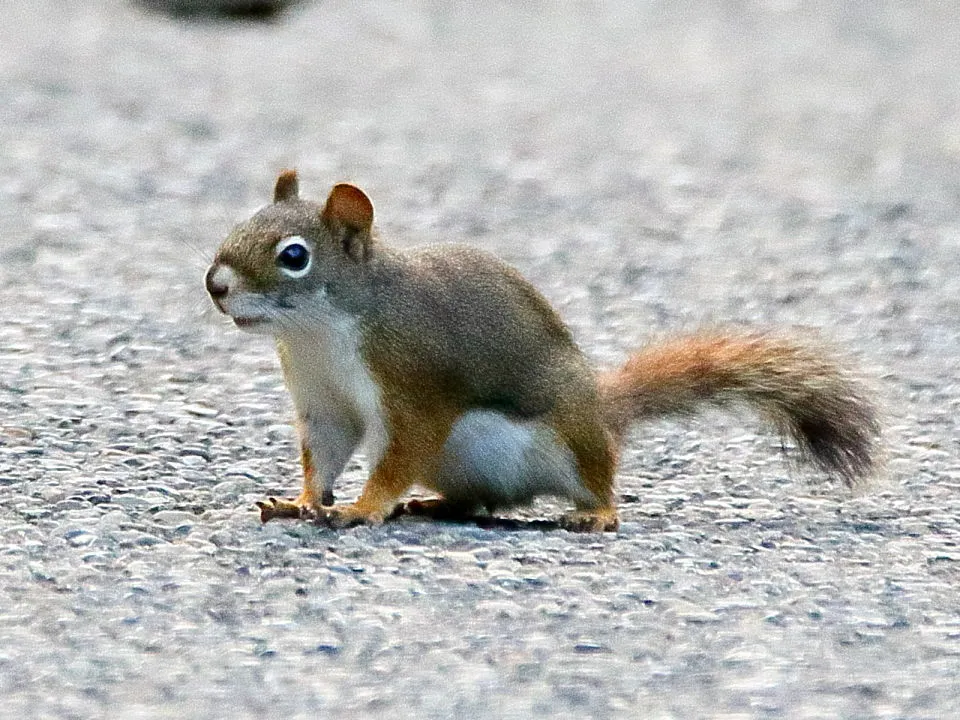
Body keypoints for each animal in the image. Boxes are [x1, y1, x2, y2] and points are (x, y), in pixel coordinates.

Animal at [206, 169, 880, 528]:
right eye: (237, 226)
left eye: (295, 256)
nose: (215, 285)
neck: (317, 334)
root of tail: (603, 413)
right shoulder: (324, 403)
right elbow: (324, 455)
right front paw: (299, 502)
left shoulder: (413, 383)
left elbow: (397, 454)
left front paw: (362, 508)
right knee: (480, 501)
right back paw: (433, 505)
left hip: (572, 441)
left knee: (598, 480)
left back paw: (596, 514)